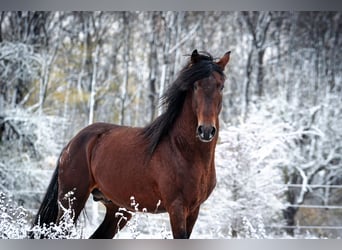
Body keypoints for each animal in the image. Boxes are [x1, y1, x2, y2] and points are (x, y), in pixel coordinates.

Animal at [30, 48, 231, 238]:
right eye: (195, 86)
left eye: (221, 87)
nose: (206, 130)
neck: (183, 151)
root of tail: (71, 144)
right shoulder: (177, 208)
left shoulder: (194, 210)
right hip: (71, 202)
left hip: (118, 209)